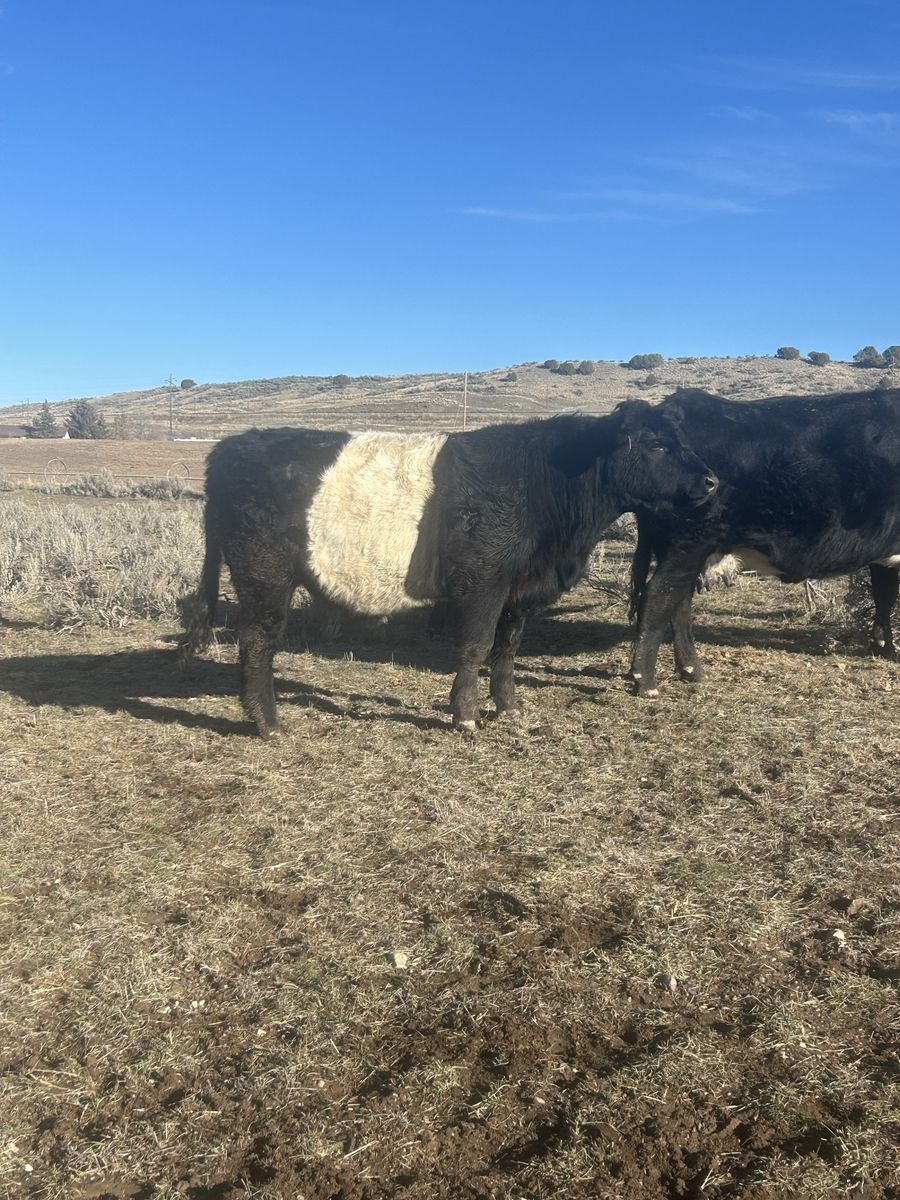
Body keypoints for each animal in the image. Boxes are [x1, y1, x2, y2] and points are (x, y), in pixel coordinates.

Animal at [179, 402, 717, 736]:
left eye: (683, 440)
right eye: (656, 444)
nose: (712, 481)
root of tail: (225, 449)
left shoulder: (521, 588)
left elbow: (508, 647)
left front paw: (509, 707)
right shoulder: (484, 580)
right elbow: (476, 645)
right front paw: (465, 715)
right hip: (263, 576)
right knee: (257, 642)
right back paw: (268, 724)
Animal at [629, 387, 900, 696]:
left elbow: (885, 595)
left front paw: (883, 647)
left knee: (678, 602)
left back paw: (690, 670)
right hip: (687, 546)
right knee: (658, 597)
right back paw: (645, 680)